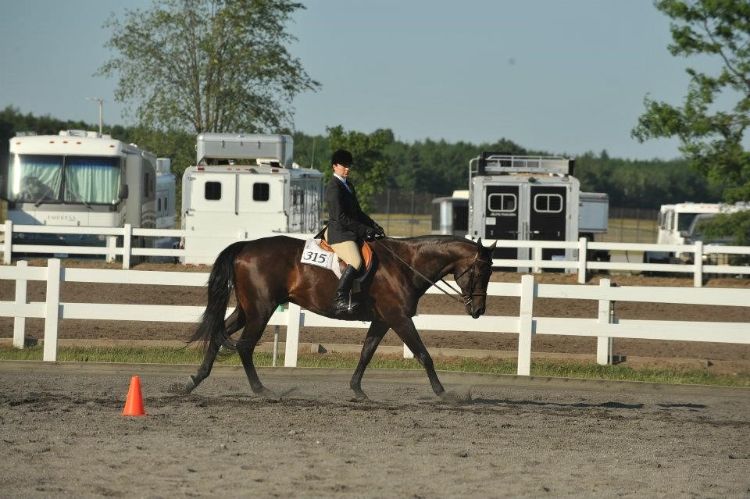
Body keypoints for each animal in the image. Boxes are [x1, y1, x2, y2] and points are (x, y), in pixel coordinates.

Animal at [177, 235, 495, 400]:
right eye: (482, 271)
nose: (478, 311)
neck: (405, 265)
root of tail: (246, 245)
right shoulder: (398, 317)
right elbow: (423, 354)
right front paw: (443, 393)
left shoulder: (383, 320)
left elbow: (366, 353)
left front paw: (357, 390)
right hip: (261, 309)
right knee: (244, 346)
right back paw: (261, 390)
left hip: (247, 309)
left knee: (218, 335)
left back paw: (192, 382)